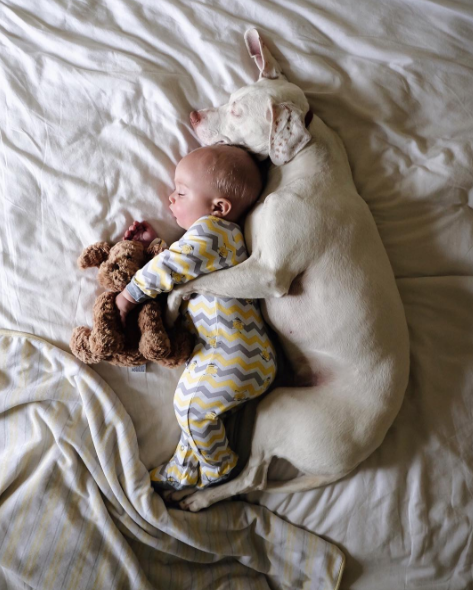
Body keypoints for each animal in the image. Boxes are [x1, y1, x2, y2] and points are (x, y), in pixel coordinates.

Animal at [167, 28, 410, 512]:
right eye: (230, 97)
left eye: (237, 110)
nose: (194, 113)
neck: (303, 168)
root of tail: (356, 459)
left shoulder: (267, 273)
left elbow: (201, 280)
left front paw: (170, 301)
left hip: (279, 408)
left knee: (252, 478)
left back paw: (201, 499)